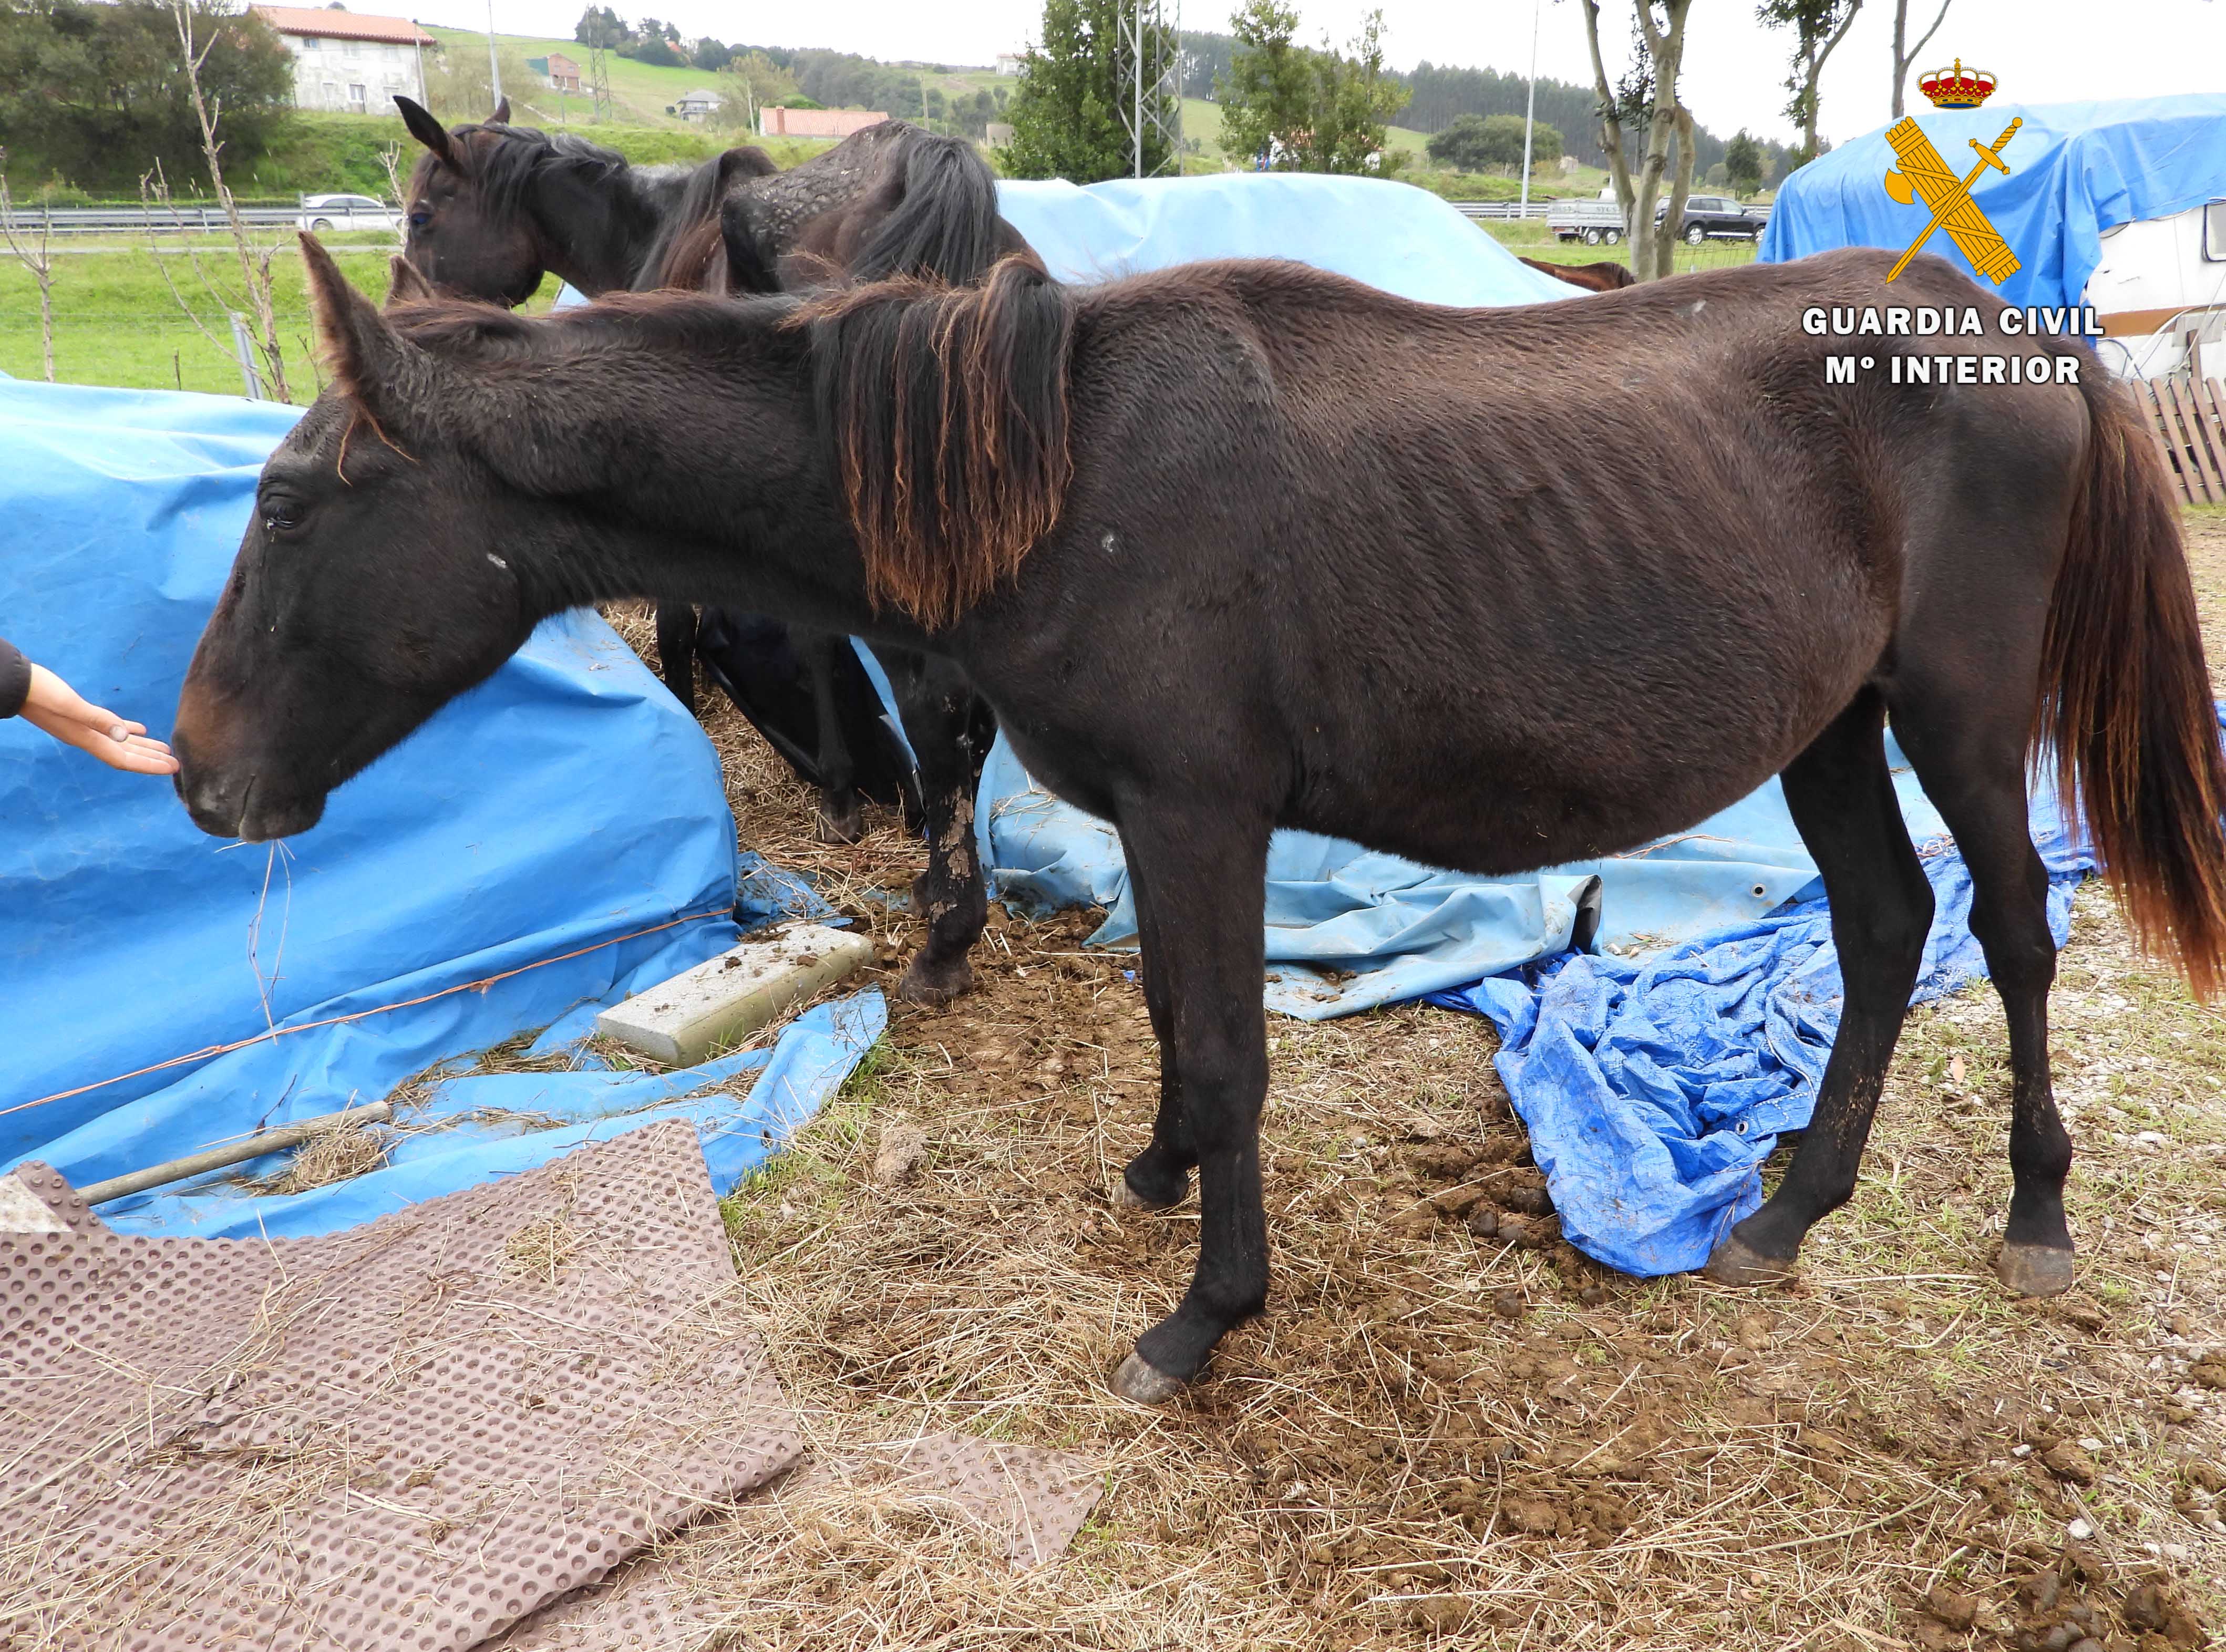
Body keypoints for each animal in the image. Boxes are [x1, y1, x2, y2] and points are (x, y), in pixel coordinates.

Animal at [169, 242, 2226, 1407]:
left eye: (284, 508)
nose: (195, 776)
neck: (1059, 471)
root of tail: (2006, 328)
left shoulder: (1201, 810)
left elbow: (1231, 1046)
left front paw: (1202, 1317)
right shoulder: (1160, 825)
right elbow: (1171, 1014)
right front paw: (1160, 1180)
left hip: (1953, 710)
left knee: (2009, 933)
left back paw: (2033, 1215)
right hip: (1827, 725)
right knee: (1882, 929)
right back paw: (1789, 1208)